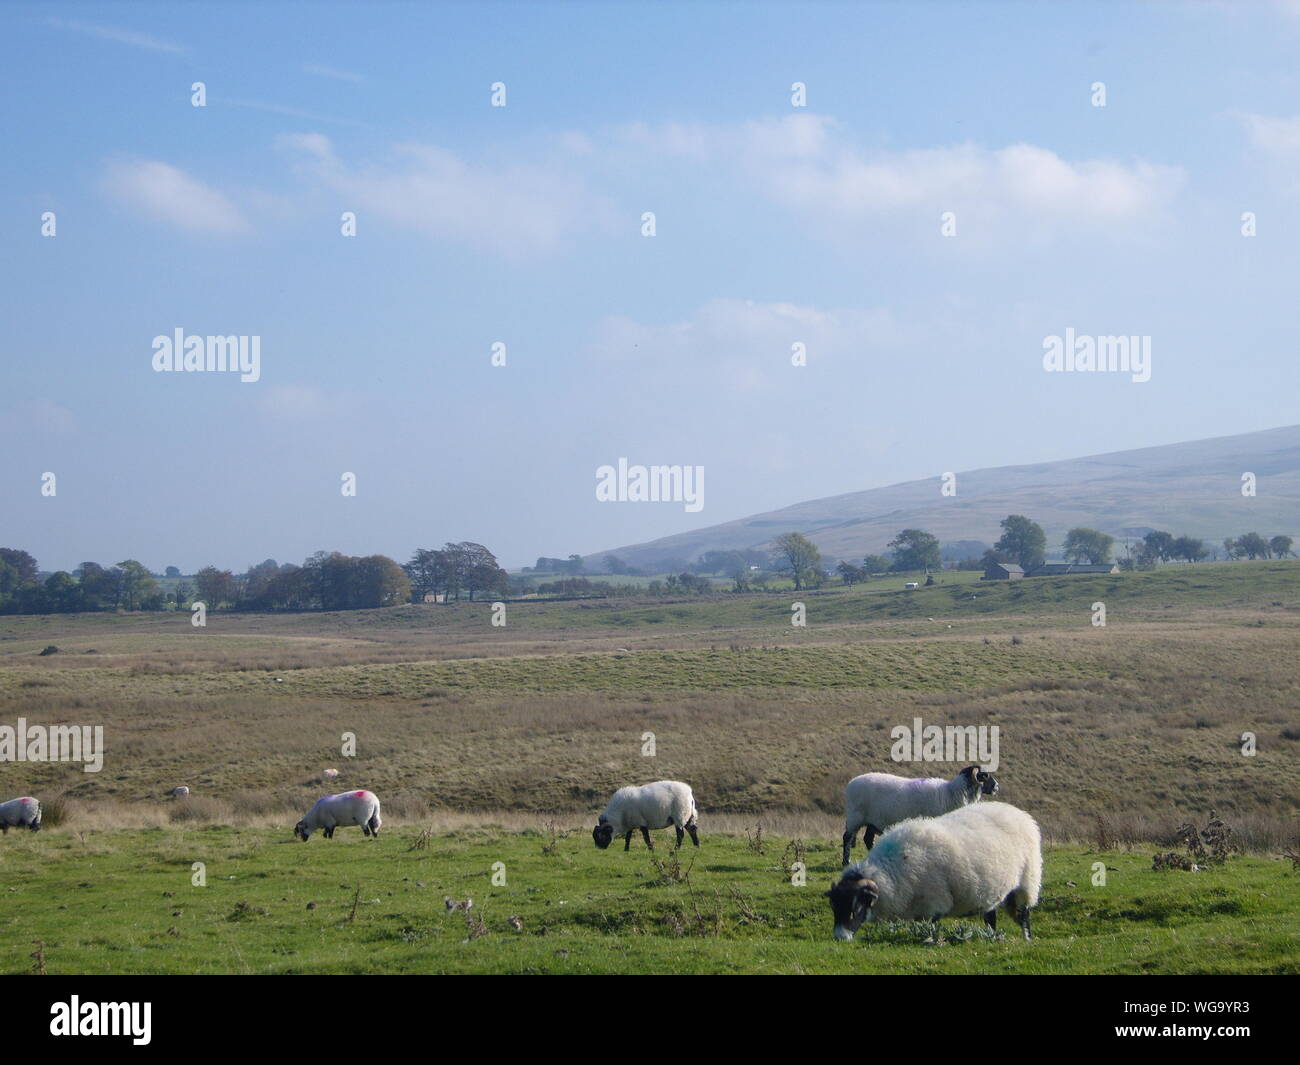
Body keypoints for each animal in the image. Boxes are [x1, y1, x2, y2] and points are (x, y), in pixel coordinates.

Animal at [826, 806, 1040, 946]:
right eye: (834, 907)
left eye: (856, 907)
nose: (840, 937)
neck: (892, 870)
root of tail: (1020, 813)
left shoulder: (933, 901)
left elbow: (932, 926)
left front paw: (930, 940)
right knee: (990, 916)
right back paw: (991, 936)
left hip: (1026, 882)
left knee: (1024, 915)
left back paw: (1027, 938)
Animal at [837, 764, 998, 868]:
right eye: (985, 775)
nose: (997, 786)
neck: (951, 793)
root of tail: (851, 782)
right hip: (855, 817)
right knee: (847, 838)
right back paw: (846, 862)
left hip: (873, 820)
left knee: (868, 839)